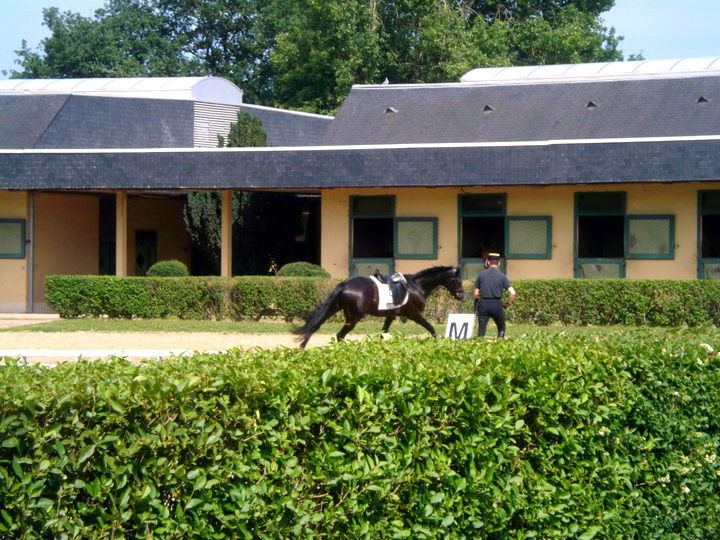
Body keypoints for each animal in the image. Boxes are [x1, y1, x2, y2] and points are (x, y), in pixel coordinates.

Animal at [294, 266, 466, 350]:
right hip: (354, 317)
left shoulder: (391, 315)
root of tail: (344, 285)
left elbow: (382, 334)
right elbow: (430, 328)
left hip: (334, 308)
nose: (462, 296)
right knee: (340, 335)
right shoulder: (412, 313)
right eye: (456, 280)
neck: (416, 286)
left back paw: (302, 347)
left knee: (316, 325)